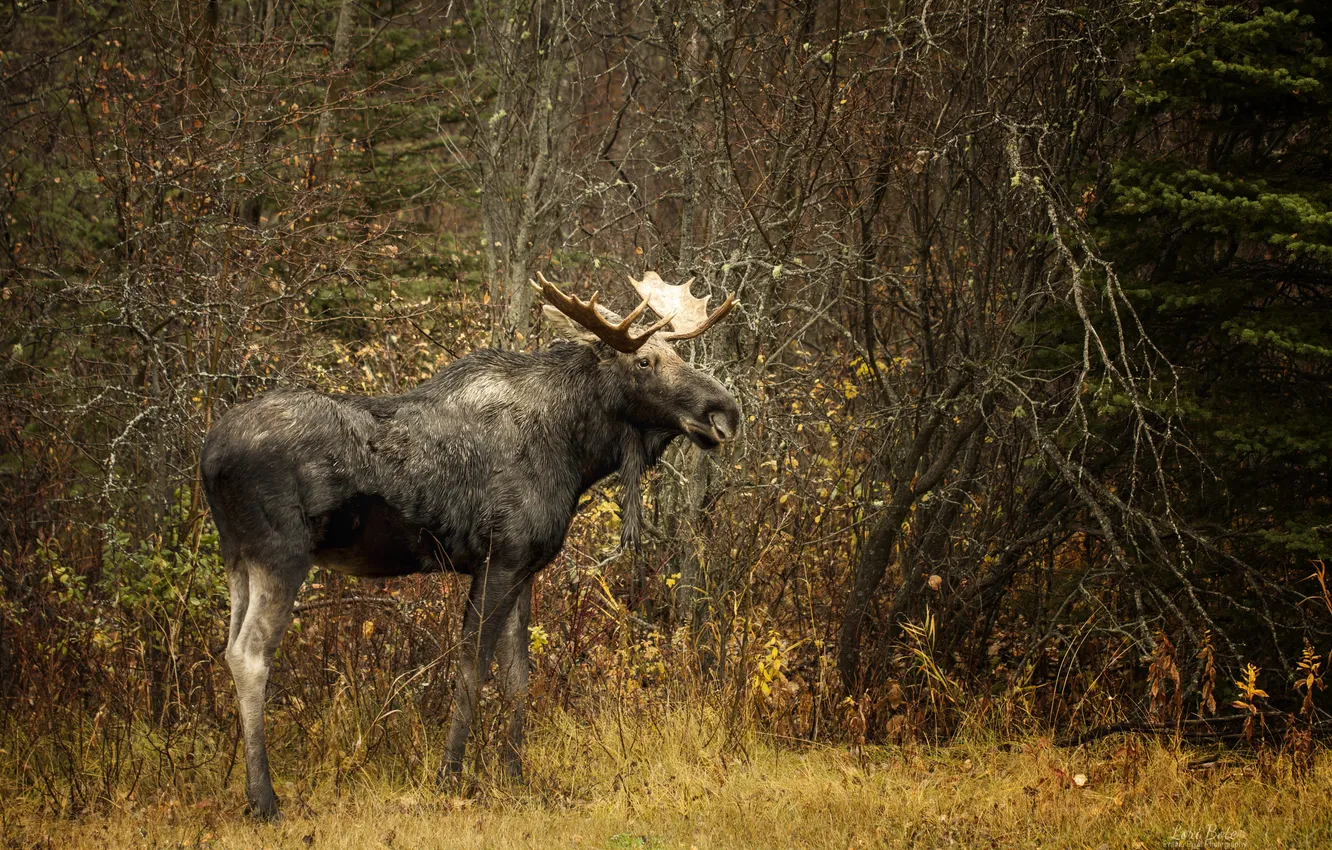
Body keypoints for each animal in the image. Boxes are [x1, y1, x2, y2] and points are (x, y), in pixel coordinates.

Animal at [199, 273, 740, 820]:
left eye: (676, 354)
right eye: (644, 361)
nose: (726, 412)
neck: (574, 451)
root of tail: (209, 455)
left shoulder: (526, 566)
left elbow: (517, 675)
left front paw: (514, 773)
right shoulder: (498, 558)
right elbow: (472, 669)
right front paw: (449, 775)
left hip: (237, 559)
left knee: (230, 647)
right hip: (281, 554)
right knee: (249, 654)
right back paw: (264, 799)